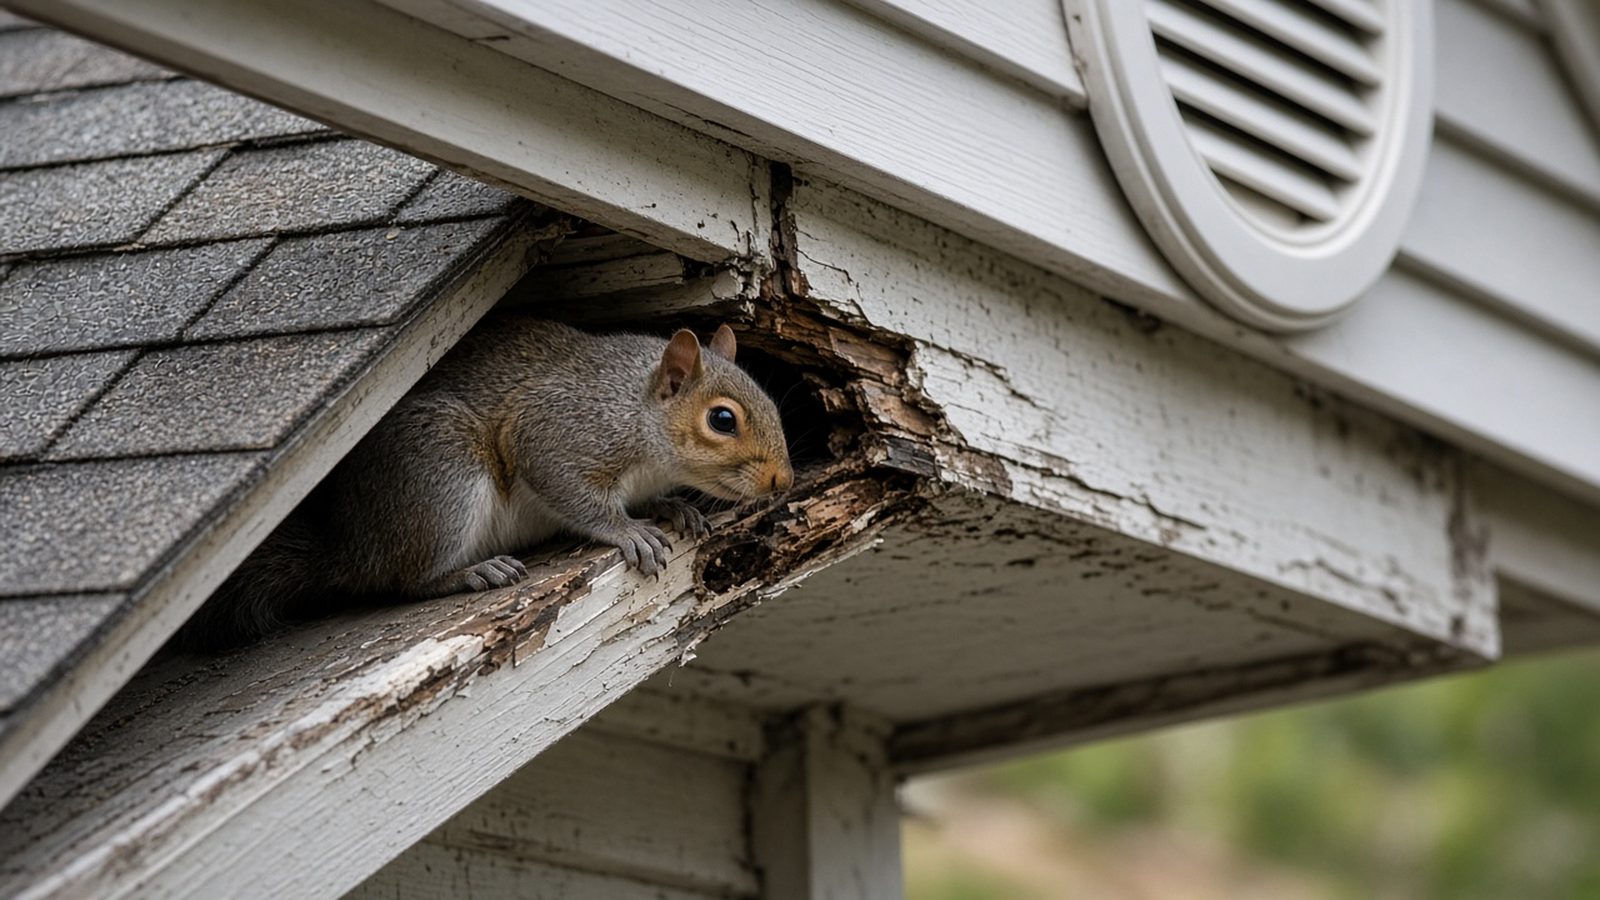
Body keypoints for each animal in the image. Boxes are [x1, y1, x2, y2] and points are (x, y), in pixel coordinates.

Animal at [180, 317, 794, 649]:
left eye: (768, 394)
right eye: (722, 419)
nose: (782, 480)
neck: (635, 406)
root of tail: (351, 547)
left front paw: (673, 507)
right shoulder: (557, 432)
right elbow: (571, 491)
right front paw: (628, 531)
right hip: (443, 478)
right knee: (401, 581)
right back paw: (471, 572)